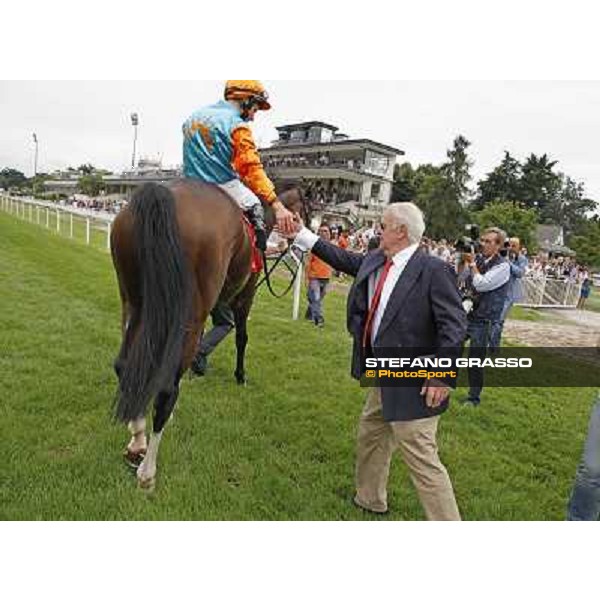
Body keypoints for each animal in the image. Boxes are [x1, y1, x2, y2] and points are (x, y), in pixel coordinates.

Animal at [110, 180, 308, 490]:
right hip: (189, 310)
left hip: (135, 301)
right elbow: (241, 338)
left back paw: (137, 439)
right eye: (307, 209)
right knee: (165, 389)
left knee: (125, 365)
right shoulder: (245, 296)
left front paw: (196, 369)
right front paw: (240, 375)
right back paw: (147, 471)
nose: (299, 245)